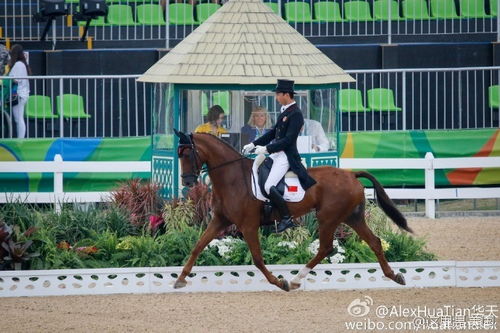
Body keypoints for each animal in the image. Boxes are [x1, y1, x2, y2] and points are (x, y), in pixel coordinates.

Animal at [172, 130, 410, 290]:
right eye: (178, 155)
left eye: (187, 154)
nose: (187, 182)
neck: (233, 178)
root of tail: (351, 174)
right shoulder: (220, 220)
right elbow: (197, 246)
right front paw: (180, 279)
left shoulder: (248, 225)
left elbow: (257, 258)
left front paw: (279, 282)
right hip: (352, 217)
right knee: (374, 242)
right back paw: (394, 276)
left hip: (328, 217)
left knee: (325, 248)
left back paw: (295, 280)